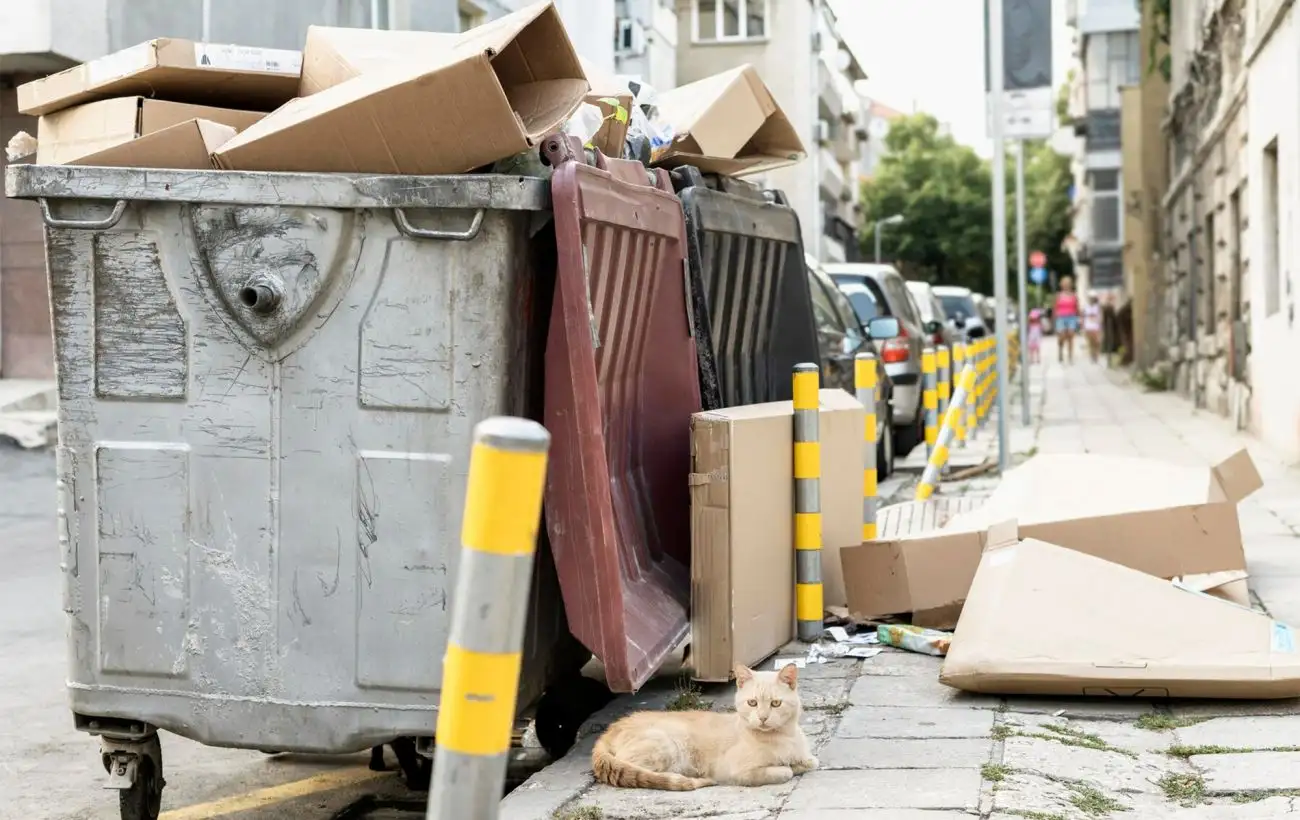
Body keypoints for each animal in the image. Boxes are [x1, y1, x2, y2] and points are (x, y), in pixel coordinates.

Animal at [587, 660, 811, 790]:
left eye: (776, 704)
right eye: (752, 703)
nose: (763, 718)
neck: (783, 737)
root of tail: (611, 728)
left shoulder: (807, 756)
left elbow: (810, 762)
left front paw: (797, 763)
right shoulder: (735, 771)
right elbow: (785, 771)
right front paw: (787, 767)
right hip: (666, 745)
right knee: (638, 769)